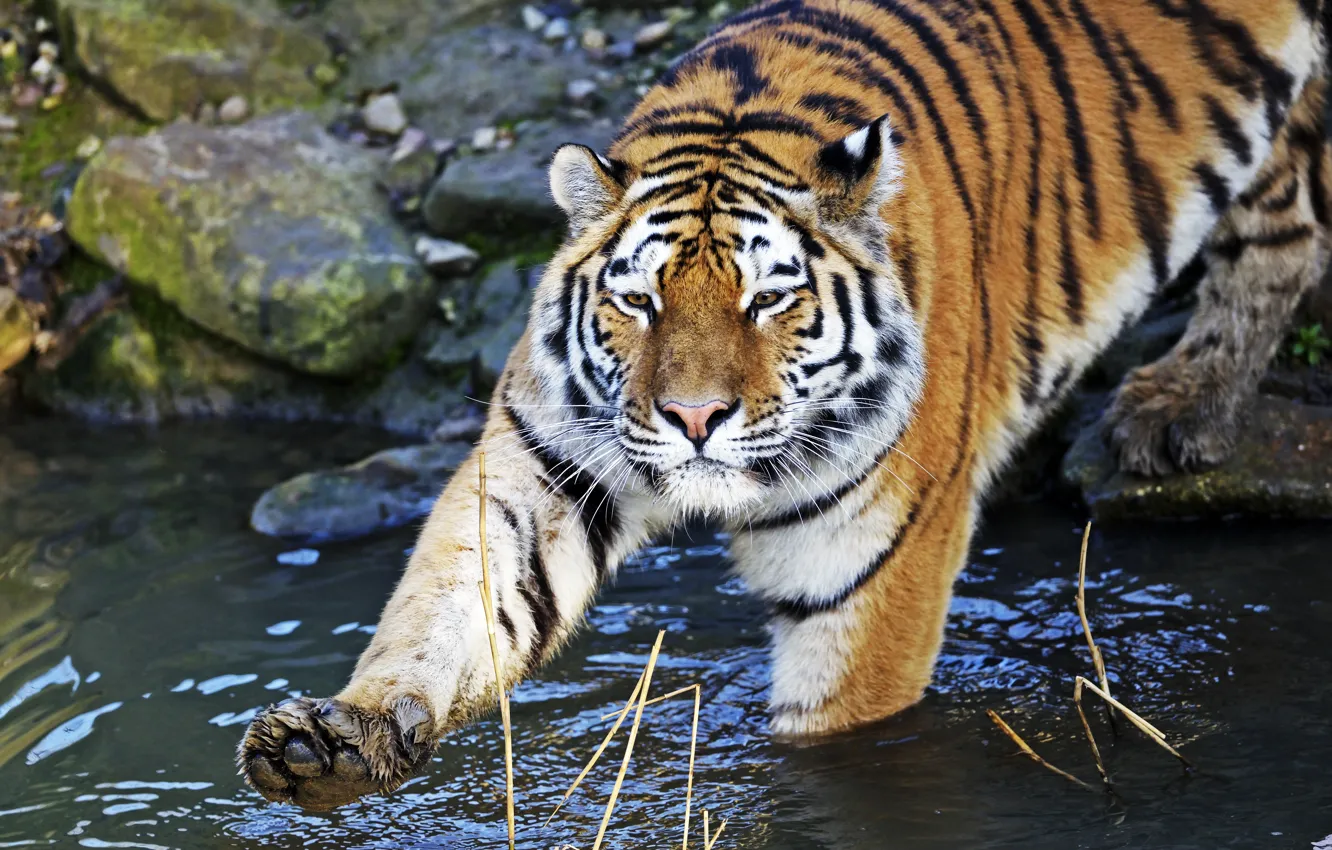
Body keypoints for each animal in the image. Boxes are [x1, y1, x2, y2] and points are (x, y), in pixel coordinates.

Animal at [239, 0, 1332, 810]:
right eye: (639, 301)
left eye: (770, 299)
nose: (693, 419)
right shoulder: (543, 471)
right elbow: (452, 603)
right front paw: (339, 739)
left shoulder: (869, 567)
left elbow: (835, 733)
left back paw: (1176, 412)